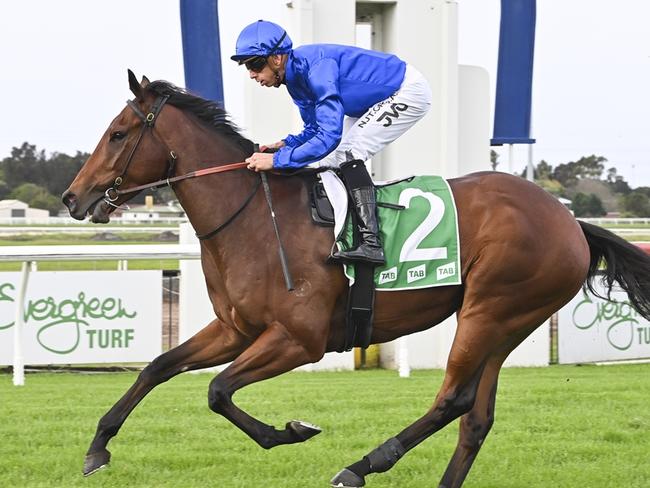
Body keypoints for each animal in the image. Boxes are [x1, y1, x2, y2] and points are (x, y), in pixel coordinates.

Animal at [60, 70, 648, 486]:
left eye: (117, 135)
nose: (72, 198)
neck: (254, 218)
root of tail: (569, 221)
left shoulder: (299, 339)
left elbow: (218, 391)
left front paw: (292, 431)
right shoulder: (235, 329)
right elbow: (157, 367)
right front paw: (97, 447)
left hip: (492, 310)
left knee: (452, 400)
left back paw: (361, 466)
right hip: (506, 324)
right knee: (475, 418)